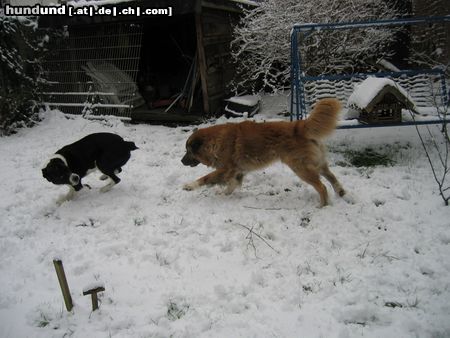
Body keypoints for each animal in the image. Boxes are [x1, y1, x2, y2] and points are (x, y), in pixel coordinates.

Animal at [181, 96, 346, 205]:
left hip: (300, 167)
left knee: (322, 186)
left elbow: (206, 178)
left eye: (188, 151)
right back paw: (340, 192)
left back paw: (323, 206)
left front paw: (189, 186)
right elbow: (231, 185)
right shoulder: (237, 171)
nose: (181, 161)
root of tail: (299, 126)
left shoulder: (226, 169)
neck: (215, 142)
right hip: (317, 163)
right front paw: (224, 194)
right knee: (331, 176)